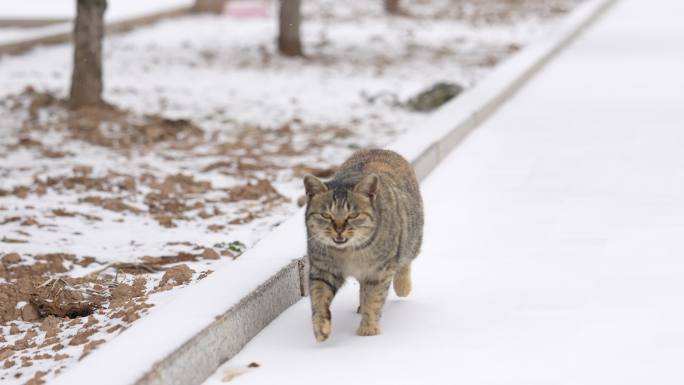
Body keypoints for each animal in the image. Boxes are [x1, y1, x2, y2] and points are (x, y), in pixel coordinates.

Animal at [304, 148, 422, 340]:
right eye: (326, 215)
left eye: (353, 215)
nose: (339, 230)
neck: (348, 252)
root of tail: (381, 149)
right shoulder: (323, 268)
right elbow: (319, 297)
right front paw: (321, 327)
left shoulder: (378, 270)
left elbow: (373, 299)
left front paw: (368, 327)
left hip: (412, 235)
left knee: (406, 259)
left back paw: (402, 286)